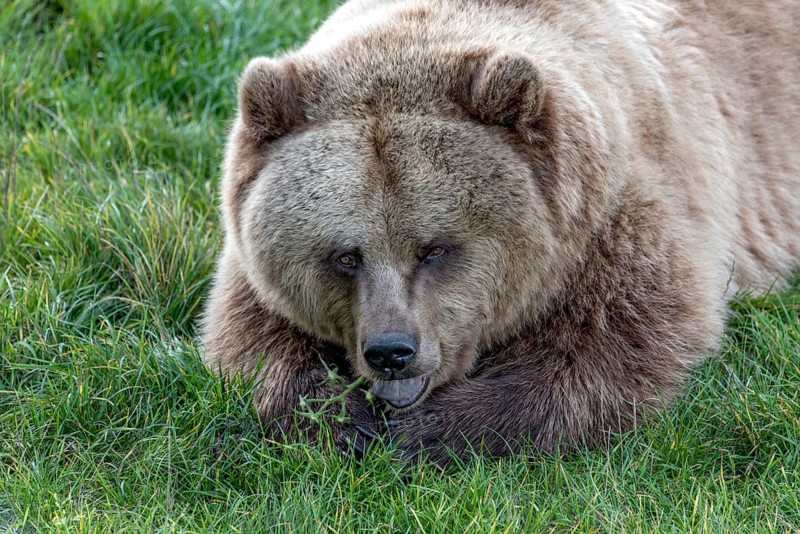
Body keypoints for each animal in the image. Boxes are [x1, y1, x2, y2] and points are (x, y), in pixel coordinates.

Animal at [202, 0, 800, 465]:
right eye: (346, 255)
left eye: (435, 249)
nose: (392, 350)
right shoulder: (247, 260)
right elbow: (252, 339)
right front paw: (344, 422)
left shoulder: (618, 218)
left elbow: (617, 347)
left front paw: (433, 432)